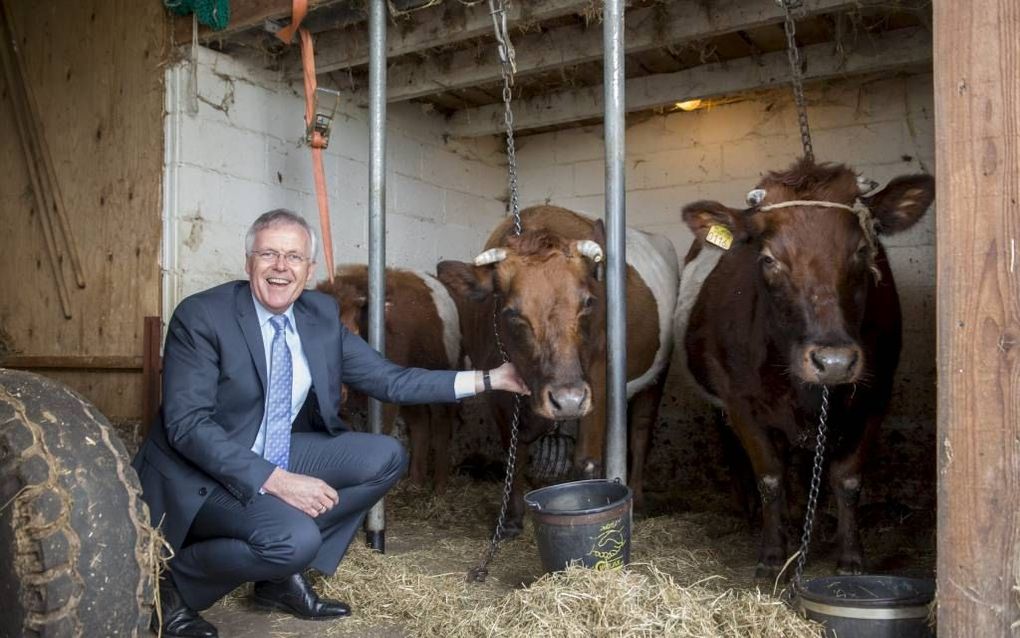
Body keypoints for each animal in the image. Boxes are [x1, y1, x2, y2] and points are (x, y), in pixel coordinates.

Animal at [316, 263, 465, 492]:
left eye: (354, 333)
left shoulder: (383, 405)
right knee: (420, 422)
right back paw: (415, 480)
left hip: (442, 374)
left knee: (441, 423)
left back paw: (440, 484)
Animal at [436, 205, 677, 530]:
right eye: (512, 312)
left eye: (588, 303)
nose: (568, 400)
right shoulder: (495, 391)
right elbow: (513, 451)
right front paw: (511, 519)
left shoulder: (596, 379)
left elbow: (586, 460)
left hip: (657, 374)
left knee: (640, 432)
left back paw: (637, 501)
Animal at [677, 157, 934, 575]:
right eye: (768, 259)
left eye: (862, 251)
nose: (834, 362)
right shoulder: (740, 403)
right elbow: (769, 476)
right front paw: (771, 555)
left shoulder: (877, 395)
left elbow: (847, 479)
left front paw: (850, 556)